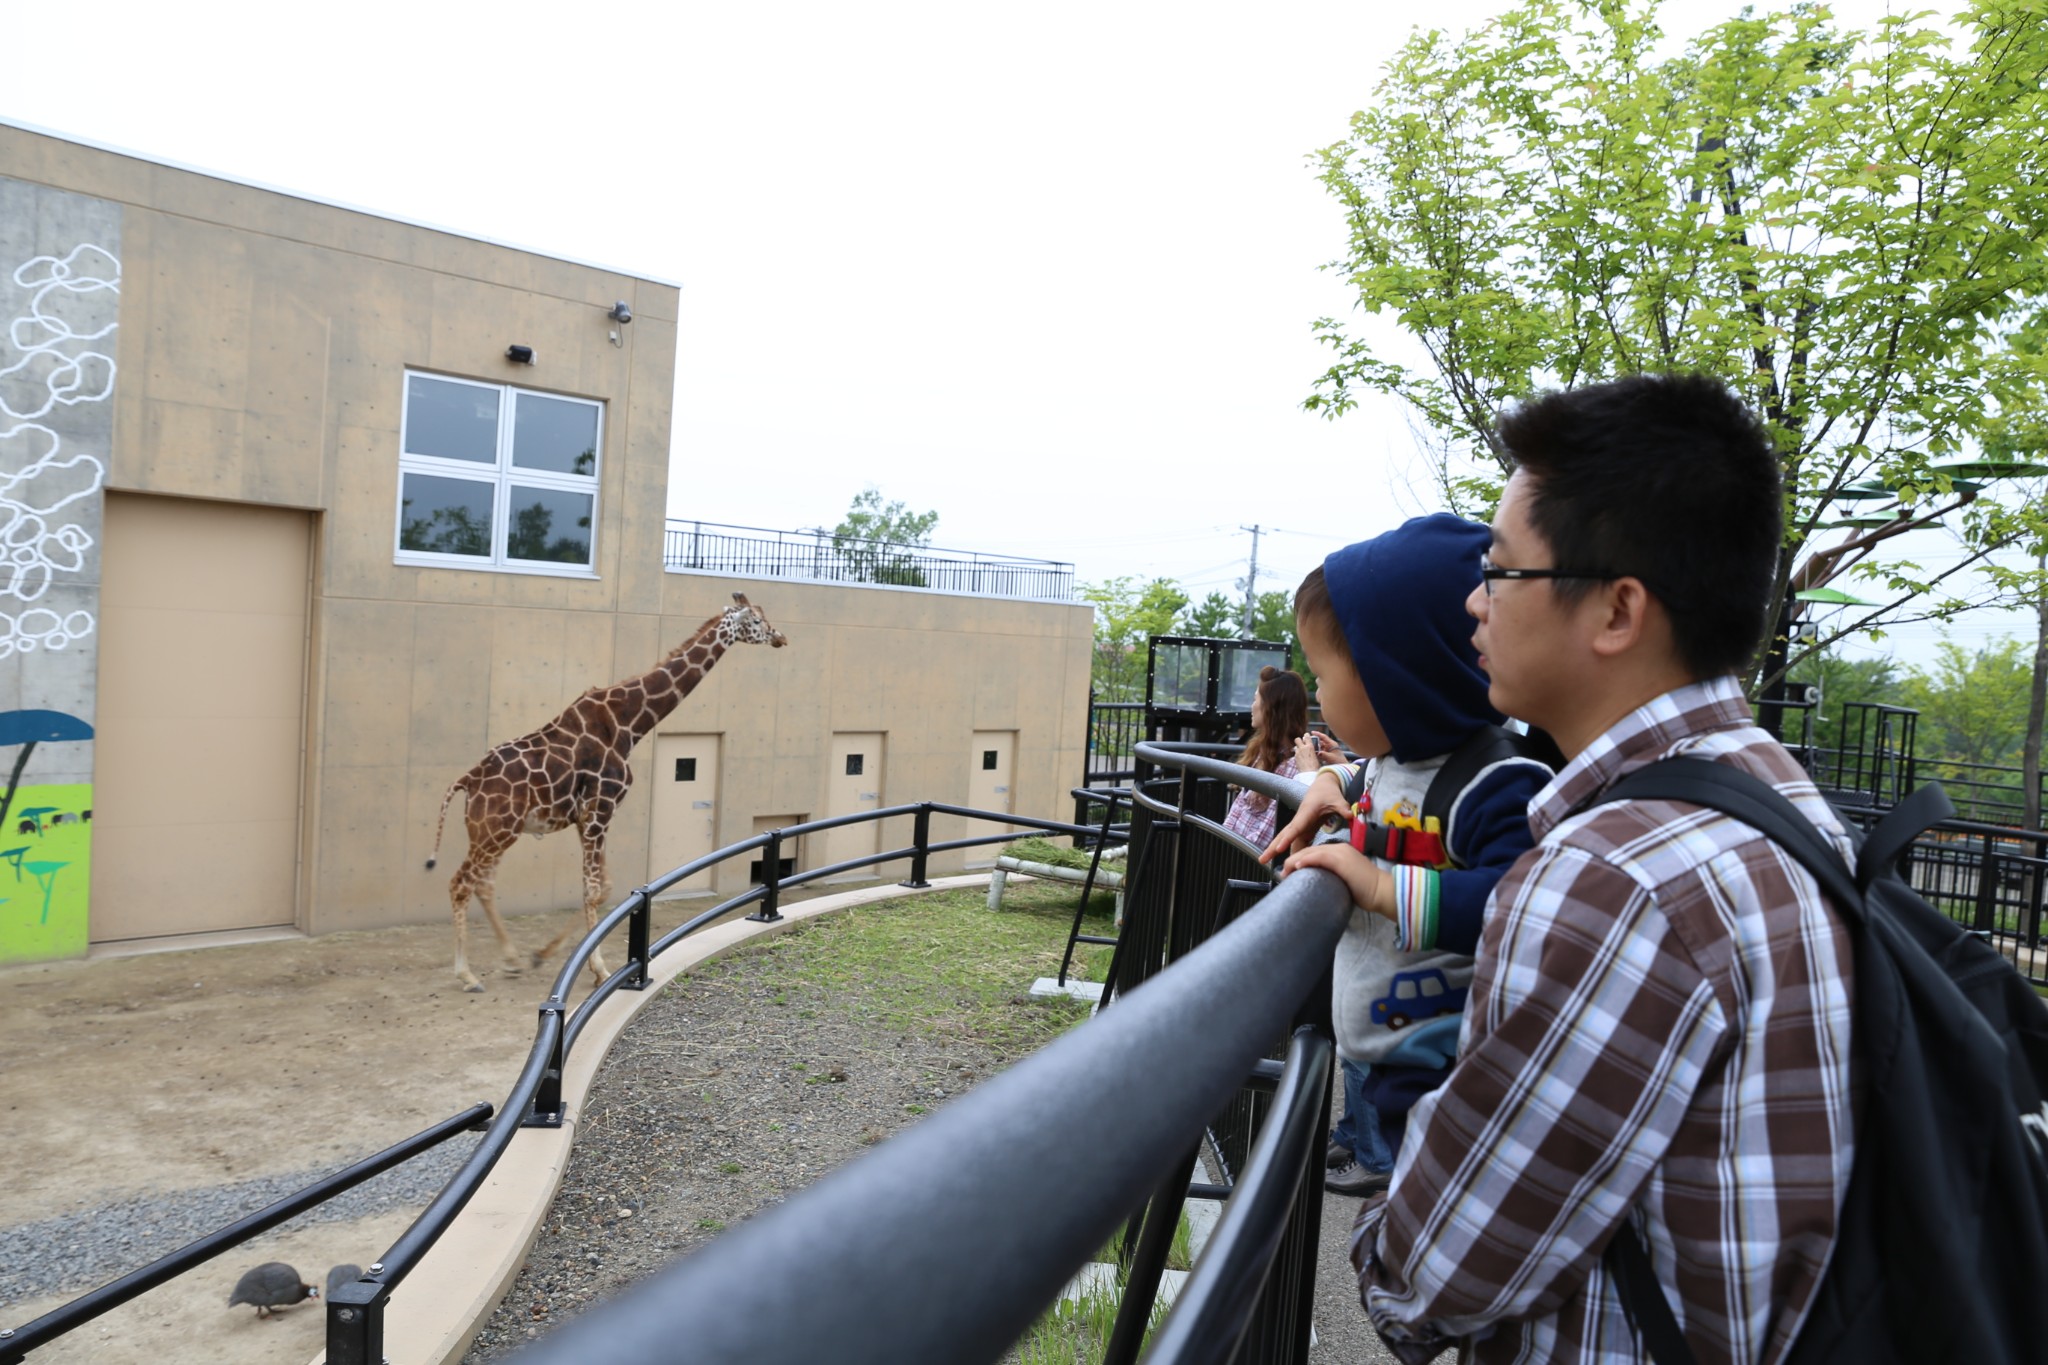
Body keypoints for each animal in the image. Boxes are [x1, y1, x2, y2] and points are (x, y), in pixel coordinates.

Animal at [425, 593, 790, 998]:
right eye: (756, 620)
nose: (780, 637)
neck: (629, 723)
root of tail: (467, 780)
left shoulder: (587, 817)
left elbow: (606, 887)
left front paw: (544, 955)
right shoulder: (601, 808)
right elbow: (594, 890)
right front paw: (597, 969)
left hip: (498, 832)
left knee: (484, 885)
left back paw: (512, 960)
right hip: (494, 831)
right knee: (460, 884)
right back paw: (468, 975)